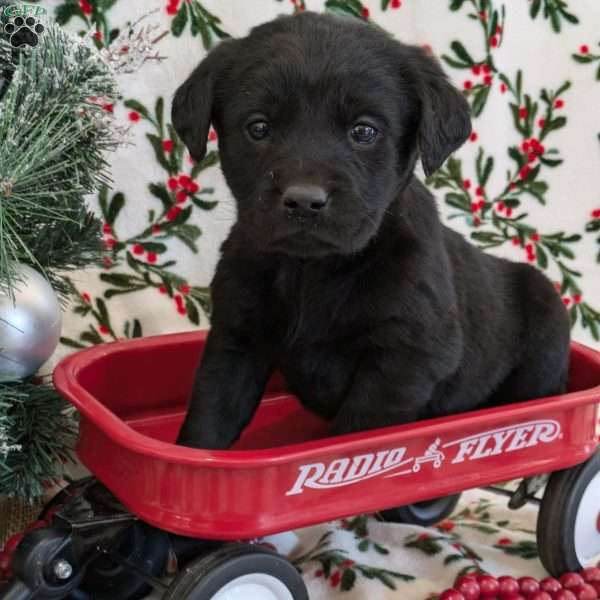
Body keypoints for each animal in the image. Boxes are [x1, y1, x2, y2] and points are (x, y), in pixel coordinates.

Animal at [171, 12, 568, 450]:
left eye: (364, 131)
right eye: (258, 128)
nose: (305, 201)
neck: (311, 272)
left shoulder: (404, 360)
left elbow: (357, 434)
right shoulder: (235, 338)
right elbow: (208, 423)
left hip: (546, 327)